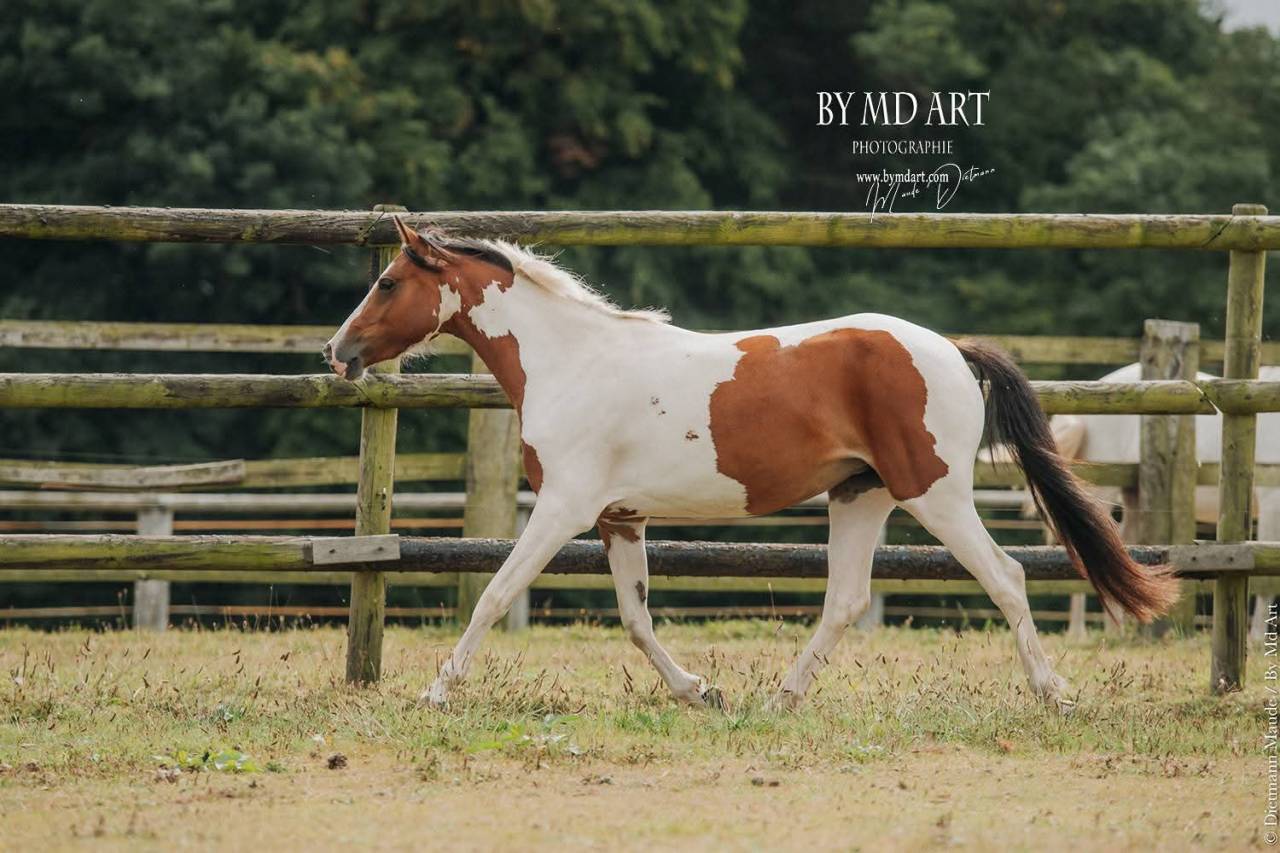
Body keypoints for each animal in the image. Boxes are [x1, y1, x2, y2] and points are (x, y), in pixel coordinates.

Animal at [323, 218, 1178, 712]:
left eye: (387, 281)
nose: (337, 351)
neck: (573, 360)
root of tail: (951, 349)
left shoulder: (565, 508)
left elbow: (494, 594)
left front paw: (436, 690)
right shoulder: (620, 517)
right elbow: (636, 617)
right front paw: (700, 689)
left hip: (934, 493)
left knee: (1006, 576)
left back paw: (1054, 693)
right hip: (859, 496)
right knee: (845, 599)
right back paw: (781, 698)